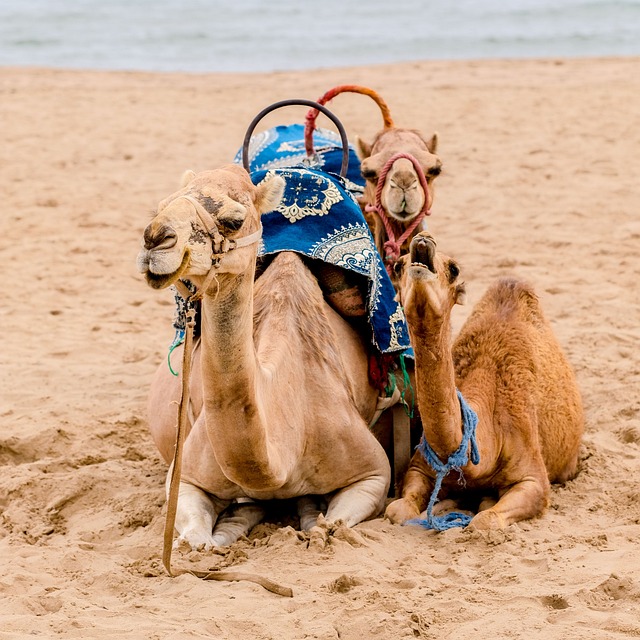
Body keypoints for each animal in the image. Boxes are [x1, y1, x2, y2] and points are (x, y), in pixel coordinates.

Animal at [136, 165, 390, 552]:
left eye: (234, 220)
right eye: (163, 205)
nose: (155, 238)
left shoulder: (375, 473)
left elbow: (332, 525)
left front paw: (314, 524)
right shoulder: (185, 477)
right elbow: (195, 538)